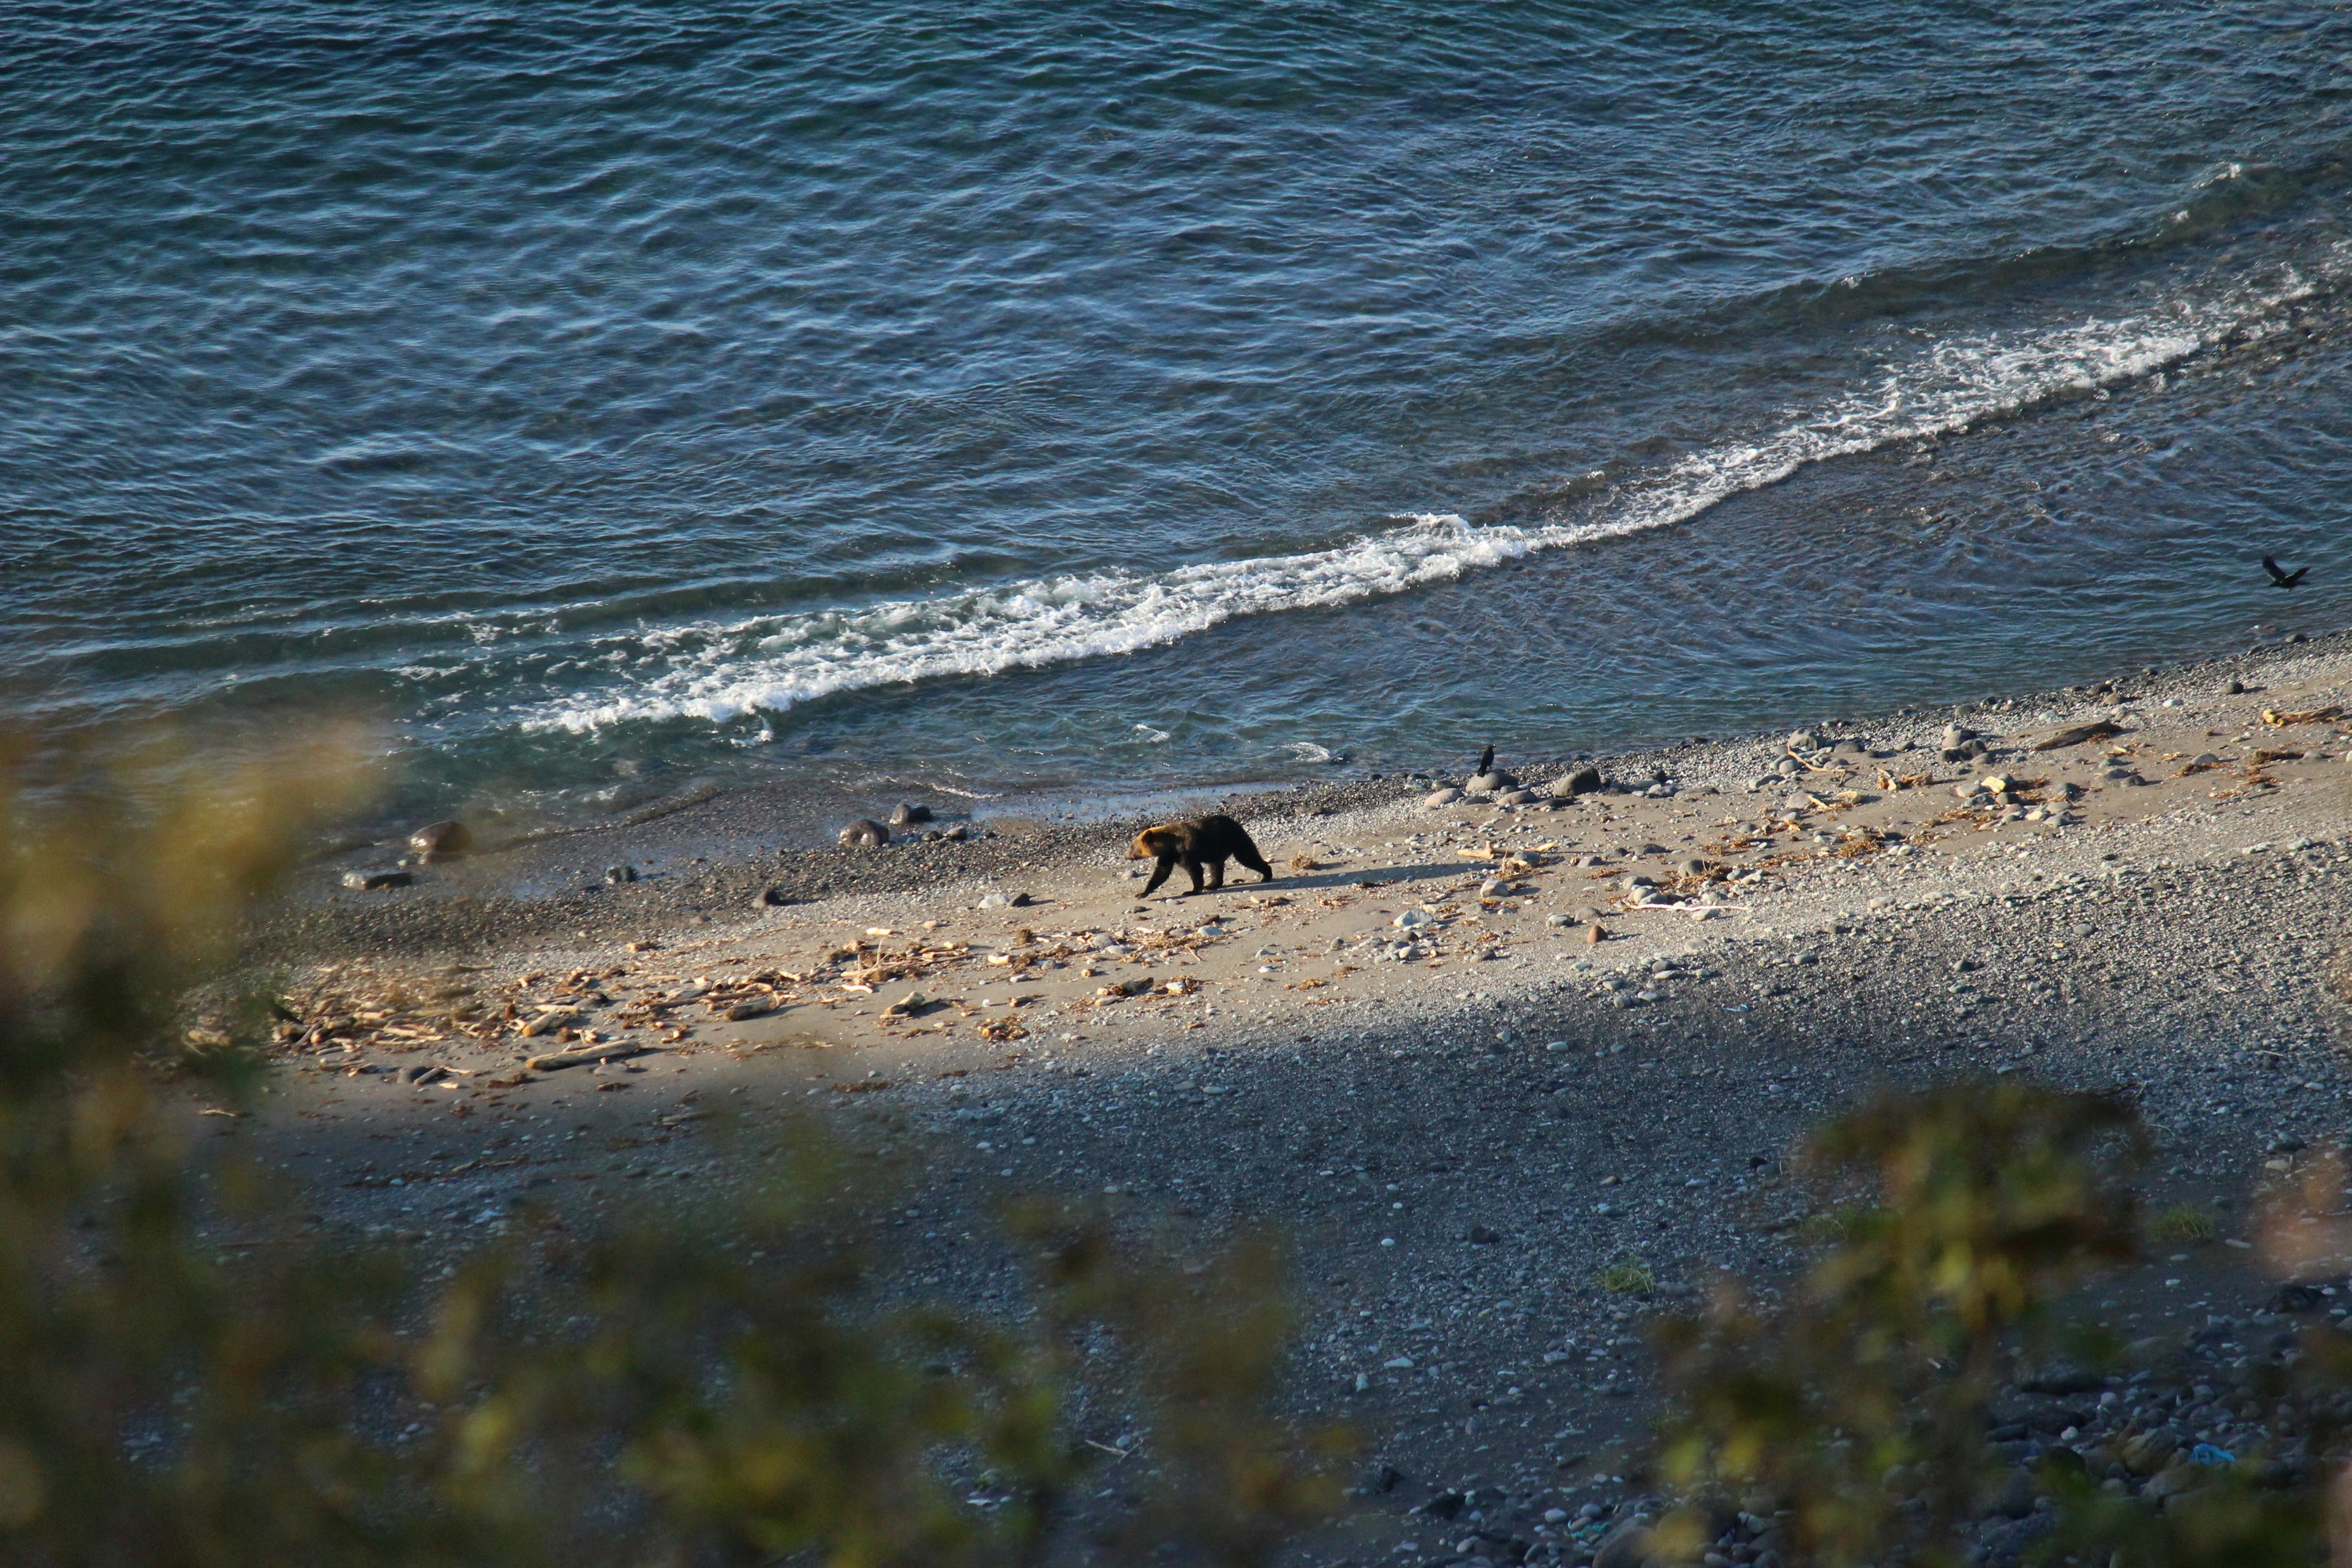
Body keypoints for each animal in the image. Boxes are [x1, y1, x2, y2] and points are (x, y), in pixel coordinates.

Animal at [1119, 818, 1270, 902]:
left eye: (1132, 847)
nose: (1125, 855)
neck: (1170, 844)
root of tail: (1236, 823)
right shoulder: (1168, 856)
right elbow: (1161, 873)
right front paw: (1142, 893)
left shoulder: (1185, 852)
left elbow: (1194, 870)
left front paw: (1191, 890)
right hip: (1216, 849)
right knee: (1216, 866)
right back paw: (1213, 884)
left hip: (1234, 840)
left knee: (1247, 856)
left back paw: (1266, 875)